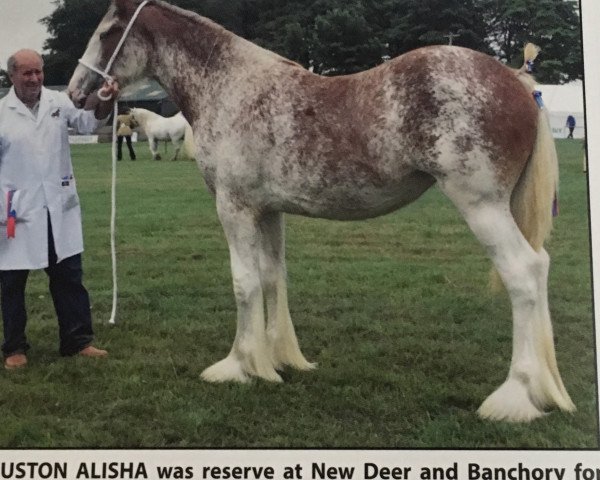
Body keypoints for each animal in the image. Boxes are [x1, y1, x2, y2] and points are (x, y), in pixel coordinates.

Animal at [67, 0, 576, 422]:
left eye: (108, 32)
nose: (76, 92)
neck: (230, 88)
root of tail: (517, 82)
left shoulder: (234, 207)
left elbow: (244, 283)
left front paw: (238, 366)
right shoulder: (268, 211)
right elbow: (272, 278)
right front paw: (277, 360)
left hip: (481, 206)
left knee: (523, 274)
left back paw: (514, 397)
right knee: (541, 268)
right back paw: (545, 392)